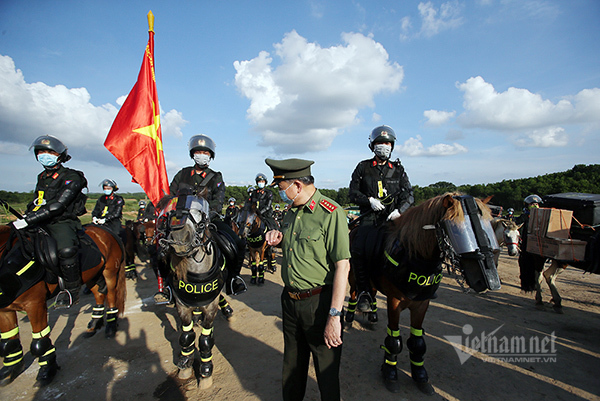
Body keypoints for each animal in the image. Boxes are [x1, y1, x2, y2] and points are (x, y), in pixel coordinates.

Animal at [0, 223, 125, 386]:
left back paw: (110, 326)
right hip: (91, 276)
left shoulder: (34, 304)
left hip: (109, 272)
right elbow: (7, 342)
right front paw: (11, 369)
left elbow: (38, 343)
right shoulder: (4, 310)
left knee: (110, 296)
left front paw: (47, 370)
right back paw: (94, 324)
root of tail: (105, 230)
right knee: (99, 295)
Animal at [344, 194, 500, 394]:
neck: (413, 254)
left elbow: (417, 343)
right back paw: (350, 317)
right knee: (355, 293)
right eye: (458, 231)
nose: (489, 280)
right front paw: (390, 373)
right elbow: (394, 341)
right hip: (353, 275)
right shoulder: (394, 302)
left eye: (488, 226)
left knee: (370, 291)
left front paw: (420, 375)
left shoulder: (422, 303)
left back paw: (371, 315)